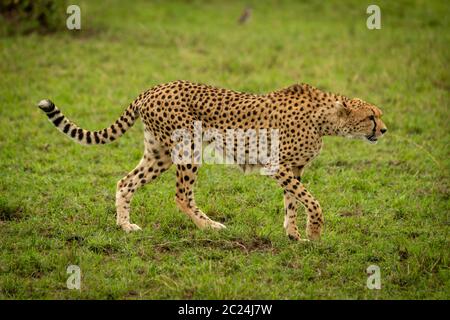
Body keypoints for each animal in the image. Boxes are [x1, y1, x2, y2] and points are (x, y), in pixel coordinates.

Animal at [37, 80, 386, 240]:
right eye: (370, 116)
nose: (383, 130)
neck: (325, 118)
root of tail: (154, 88)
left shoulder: (294, 169)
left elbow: (293, 202)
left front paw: (293, 235)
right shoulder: (278, 166)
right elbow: (311, 201)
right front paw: (313, 232)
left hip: (159, 153)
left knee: (126, 181)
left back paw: (125, 225)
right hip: (188, 148)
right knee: (181, 195)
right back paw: (210, 226)